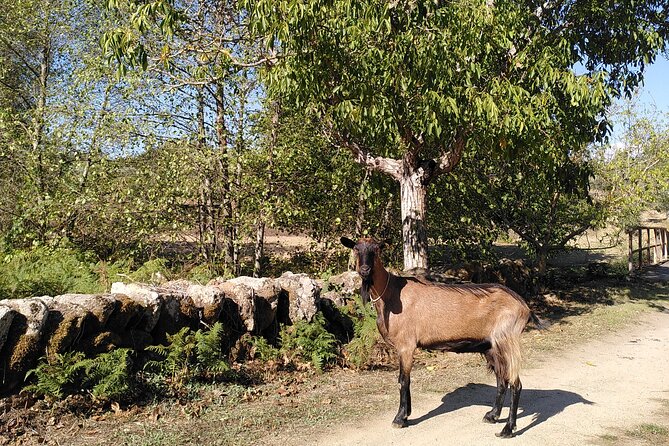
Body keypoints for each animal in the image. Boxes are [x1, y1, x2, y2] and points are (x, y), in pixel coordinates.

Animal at [342, 237, 540, 440]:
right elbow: (406, 380)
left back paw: (508, 429)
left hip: (507, 339)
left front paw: (400, 418)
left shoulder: (406, 345)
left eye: (376, 250)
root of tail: (524, 307)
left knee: (515, 383)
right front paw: (407, 414)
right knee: (502, 380)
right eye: (356, 249)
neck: (391, 294)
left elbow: (403, 380)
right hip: (491, 346)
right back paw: (492, 416)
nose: (365, 269)